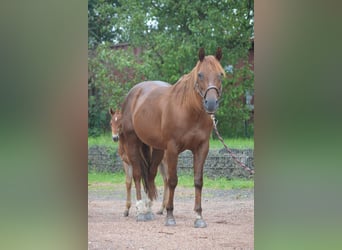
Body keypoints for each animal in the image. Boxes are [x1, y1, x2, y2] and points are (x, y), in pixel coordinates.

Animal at [119, 47, 226, 228]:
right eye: (200, 74)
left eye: (220, 74)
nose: (211, 104)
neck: (189, 110)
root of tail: (134, 93)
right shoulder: (172, 148)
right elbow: (172, 181)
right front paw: (170, 216)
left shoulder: (202, 148)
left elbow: (198, 181)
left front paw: (199, 217)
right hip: (133, 142)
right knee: (138, 175)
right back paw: (140, 211)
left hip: (156, 150)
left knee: (150, 175)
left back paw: (148, 209)